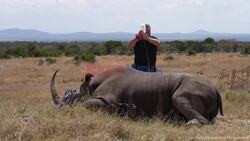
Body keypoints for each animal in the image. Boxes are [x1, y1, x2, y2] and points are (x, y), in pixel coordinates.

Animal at [50, 67, 223, 125]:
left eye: (69, 100)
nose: (58, 110)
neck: (88, 88)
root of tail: (215, 89)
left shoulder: (107, 101)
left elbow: (85, 104)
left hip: (192, 88)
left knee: (179, 98)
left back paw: (188, 124)